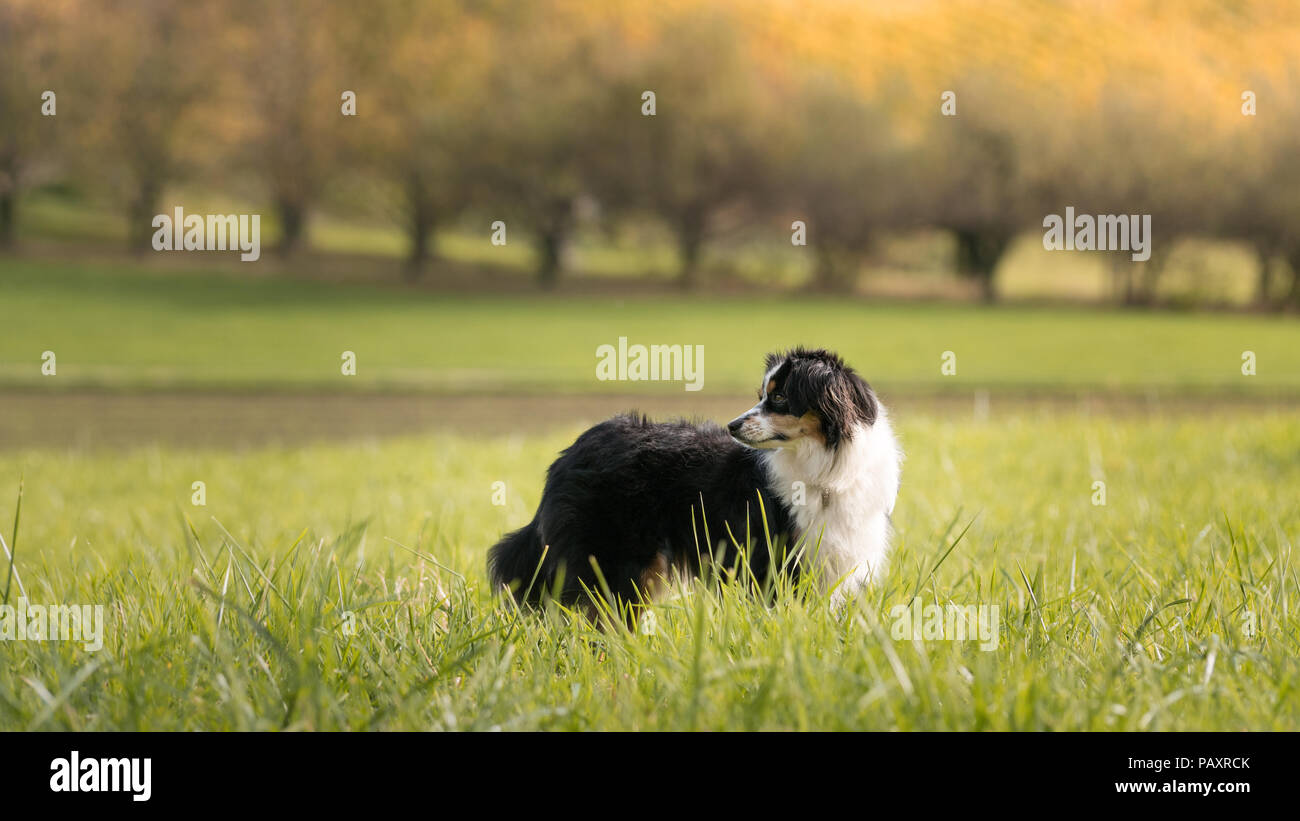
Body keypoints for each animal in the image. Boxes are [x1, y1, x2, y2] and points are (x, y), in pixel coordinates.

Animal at [488, 345, 904, 610]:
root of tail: (571, 450)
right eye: (763, 394)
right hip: (616, 562)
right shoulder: (775, 563)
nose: (732, 426)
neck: (824, 466)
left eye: (779, 398)